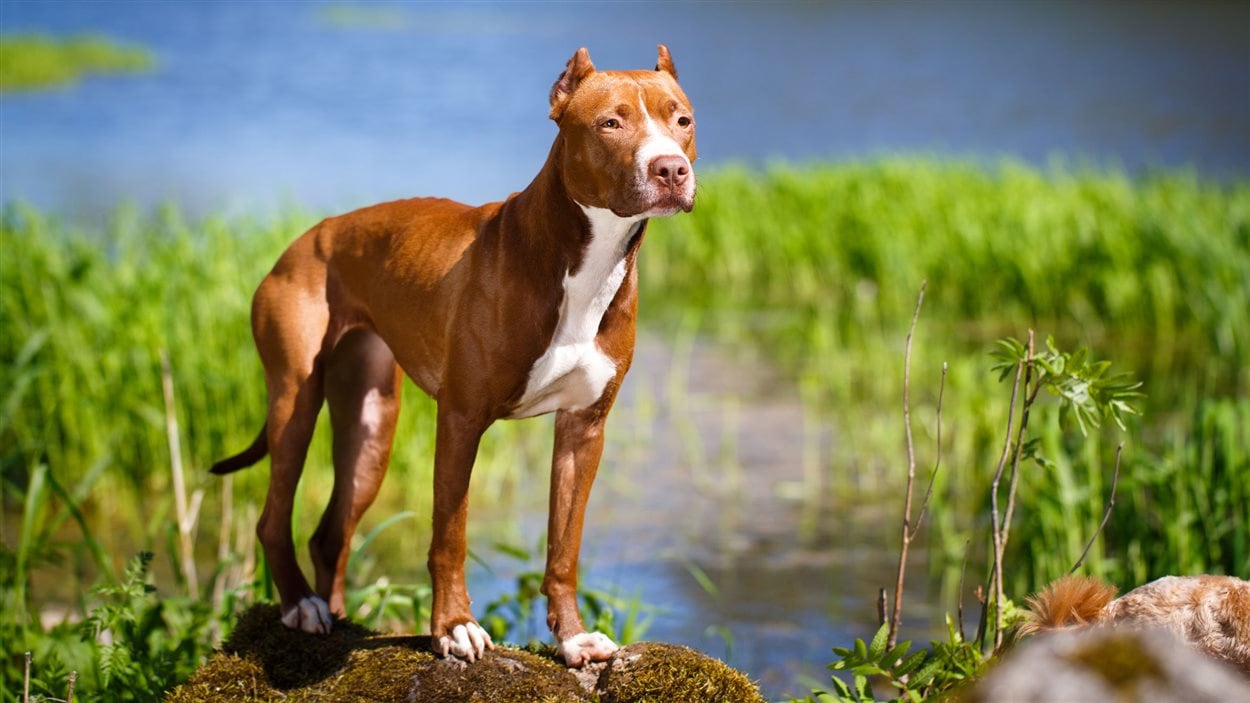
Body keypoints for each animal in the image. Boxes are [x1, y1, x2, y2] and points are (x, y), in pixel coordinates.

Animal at [211, 46, 700, 665]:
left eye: (681, 121)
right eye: (610, 123)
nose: (670, 169)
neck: (582, 256)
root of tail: (304, 240)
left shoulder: (584, 429)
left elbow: (564, 547)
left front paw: (572, 638)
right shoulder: (462, 419)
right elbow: (451, 532)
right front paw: (453, 627)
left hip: (371, 425)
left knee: (330, 532)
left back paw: (337, 614)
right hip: (295, 403)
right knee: (273, 516)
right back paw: (302, 607)